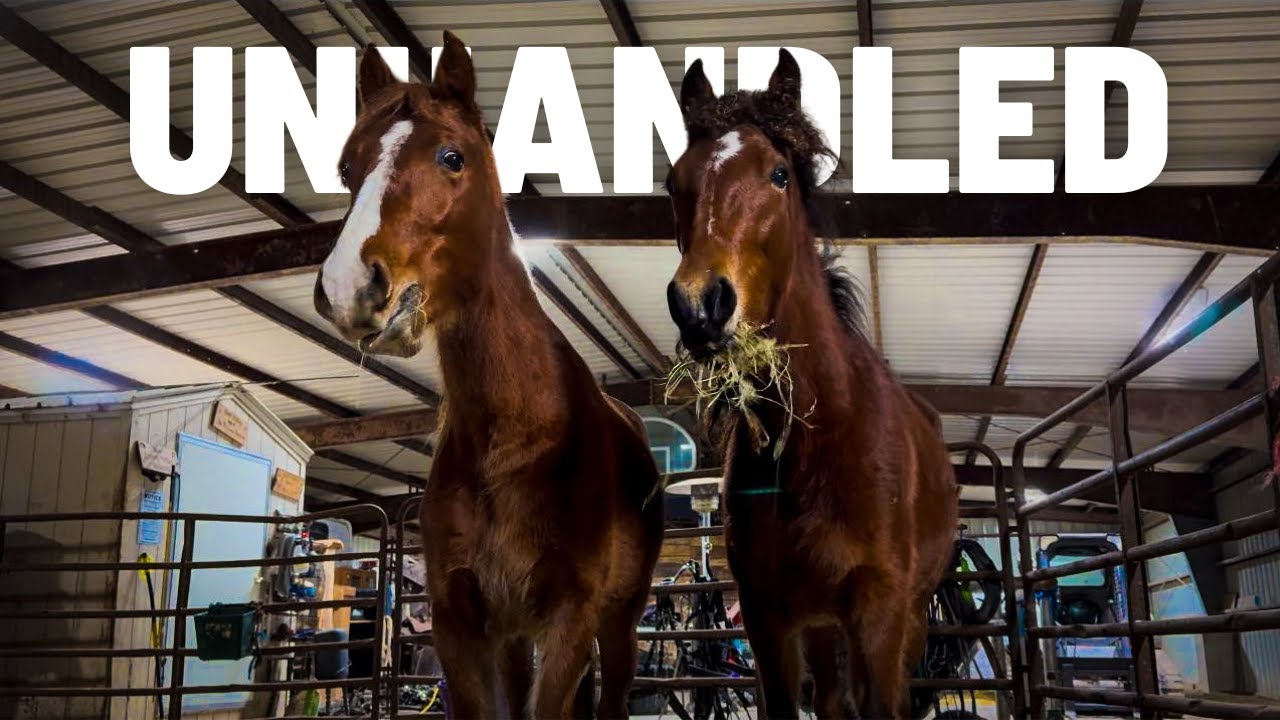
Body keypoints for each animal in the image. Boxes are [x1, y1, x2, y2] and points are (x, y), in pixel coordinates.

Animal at [312, 33, 665, 719]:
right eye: (346, 168)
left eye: (453, 157)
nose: (347, 287)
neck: (518, 439)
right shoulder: (461, 622)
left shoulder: (570, 619)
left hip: (620, 623)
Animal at [664, 50, 959, 719]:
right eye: (673, 183)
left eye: (778, 175)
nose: (699, 306)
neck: (817, 438)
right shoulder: (770, 621)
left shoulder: (880, 614)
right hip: (820, 624)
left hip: (905, 619)